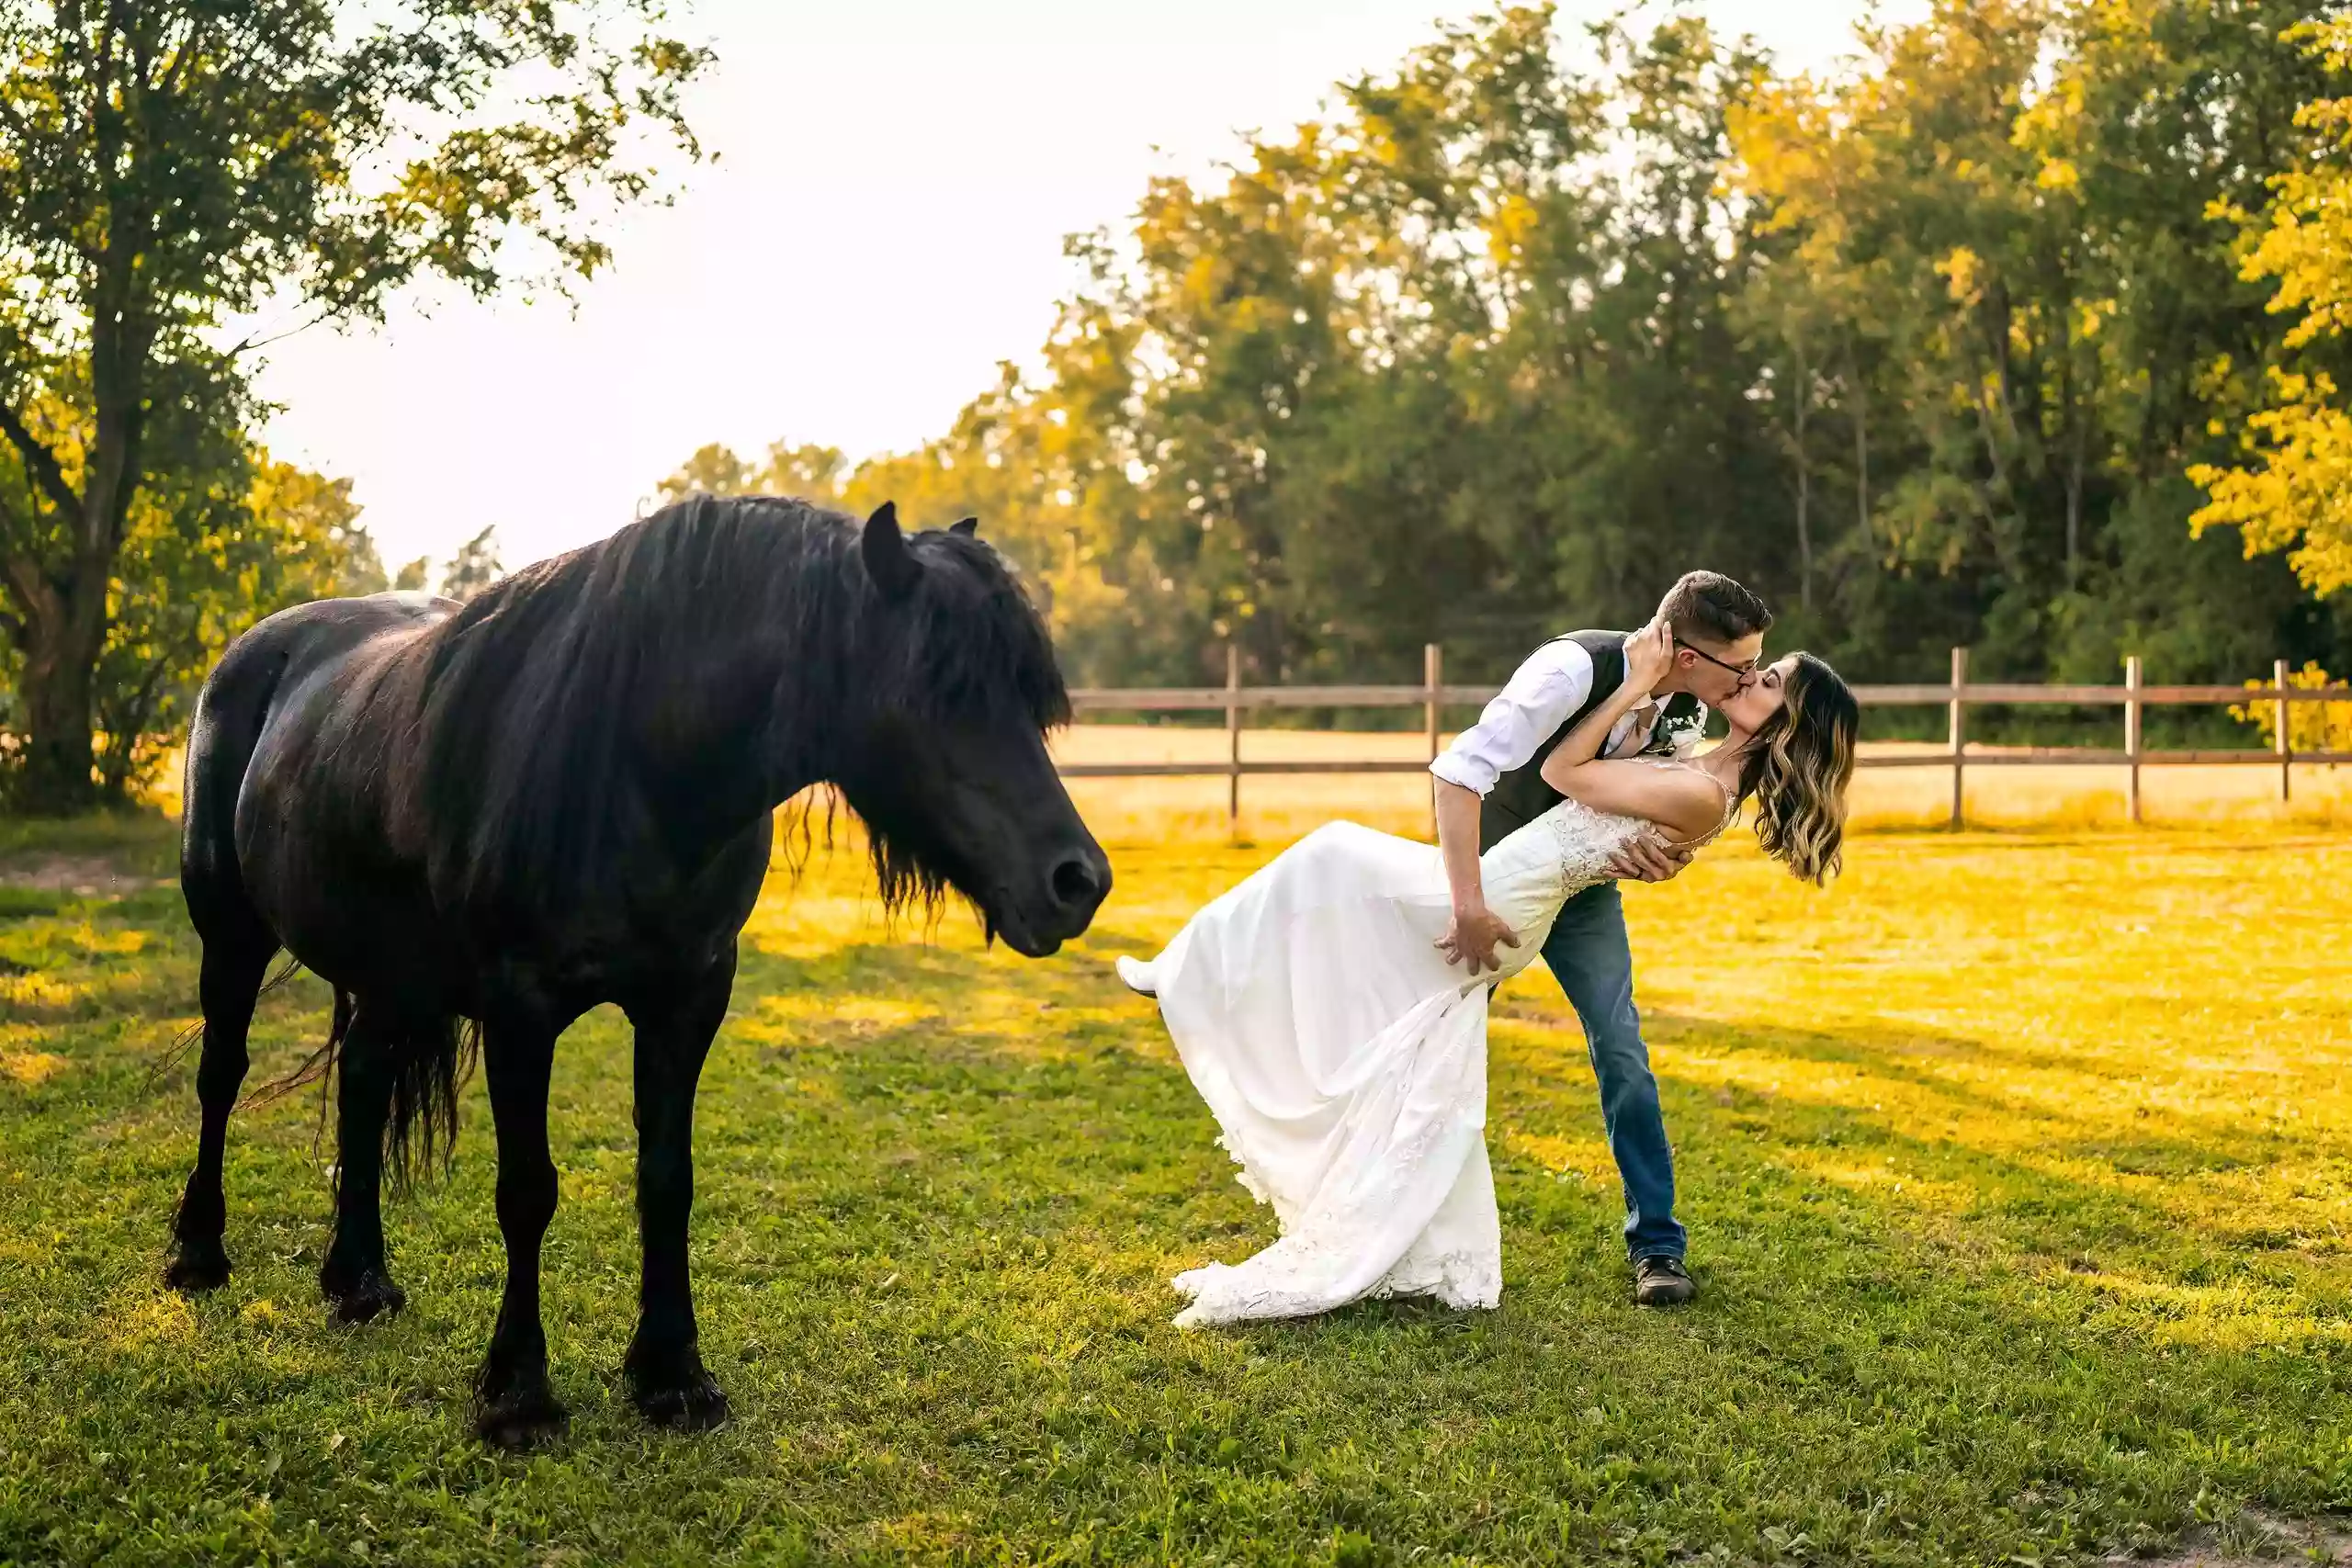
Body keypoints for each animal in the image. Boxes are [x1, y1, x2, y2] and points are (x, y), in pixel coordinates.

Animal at [163, 501, 1110, 1448]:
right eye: (939, 689)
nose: (1079, 882)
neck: (634, 767)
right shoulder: (520, 1010)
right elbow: (527, 1191)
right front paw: (518, 1391)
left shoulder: (686, 1000)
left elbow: (666, 1180)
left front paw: (672, 1375)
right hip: (233, 936)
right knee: (222, 1077)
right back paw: (198, 1254)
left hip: (391, 978)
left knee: (360, 1079)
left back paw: (359, 1279)